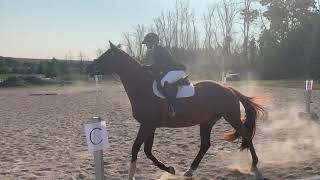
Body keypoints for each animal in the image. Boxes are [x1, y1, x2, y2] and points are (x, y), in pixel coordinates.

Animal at [92, 41, 264, 179]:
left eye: (107, 56)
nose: (89, 67)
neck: (142, 87)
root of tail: (228, 88)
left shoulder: (147, 125)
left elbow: (136, 148)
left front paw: (133, 175)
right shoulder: (150, 126)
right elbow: (147, 151)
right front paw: (170, 169)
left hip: (231, 116)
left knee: (246, 134)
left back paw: (254, 162)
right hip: (207, 121)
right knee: (205, 145)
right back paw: (190, 170)